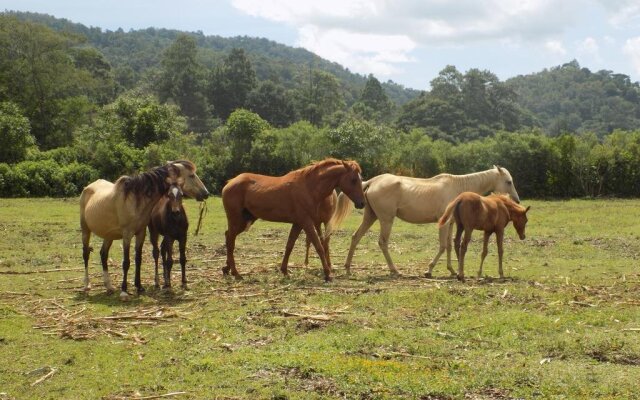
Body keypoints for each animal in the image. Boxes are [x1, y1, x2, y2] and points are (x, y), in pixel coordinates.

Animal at [80, 160, 209, 300]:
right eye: (191, 175)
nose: (206, 193)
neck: (135, 199)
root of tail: (88, 187)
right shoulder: (127, 235)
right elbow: (126, 262)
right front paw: (124, 291)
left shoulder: (140, 233)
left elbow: (138, 259)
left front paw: (139, 286)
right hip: (85, 230)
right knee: (86, 254)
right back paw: (87, 285)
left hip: (108, 235)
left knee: (103, 255)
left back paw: (109, 286)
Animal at [221, 157, 364, 282]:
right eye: (353, 180)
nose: (362, 203)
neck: (308, 187)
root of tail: (230, 183)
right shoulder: (306, 222)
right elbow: (318, 246)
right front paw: (327, 274)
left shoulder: (298, 224)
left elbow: (290, 245)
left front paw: (284, 270)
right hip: (236, 220)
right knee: (231, 241)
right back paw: (236, 273)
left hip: (244, 221)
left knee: (228, 237)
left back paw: (227, 269)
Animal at [338, 165, 524, 276]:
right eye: (509, 181)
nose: (517, 200)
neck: (459, 187)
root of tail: (372, 181)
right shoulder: (444, 224)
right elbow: (442, 247)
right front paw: (429, 270)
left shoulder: (451, 224)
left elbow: (448, 246)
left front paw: (452, 270)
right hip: (386, 220)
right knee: (382, 242)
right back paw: (394, 270)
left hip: (371, 216)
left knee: (355, 237)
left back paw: (347, 268)